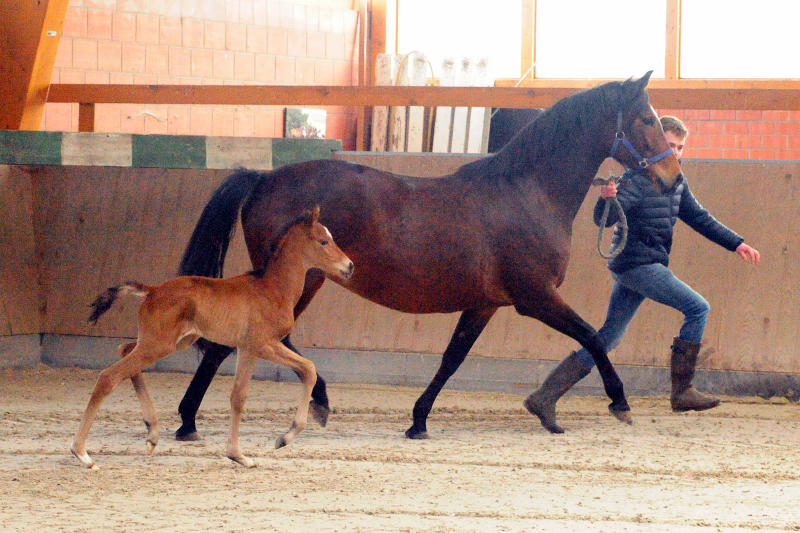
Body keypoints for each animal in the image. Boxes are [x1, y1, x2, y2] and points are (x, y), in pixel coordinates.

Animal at [70, 206, 352, 468]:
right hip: (159, 344)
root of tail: (152, 290)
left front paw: (246, 453)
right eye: (323, 241)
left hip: (168, 341)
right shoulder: (261, 345)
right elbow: (303, 371)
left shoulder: (252, 348)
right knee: (109, 376)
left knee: (125, 349)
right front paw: (275, 442)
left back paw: (152, 432)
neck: (272, 288)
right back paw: (83, 454)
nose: (349, 266)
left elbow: (244, 394)